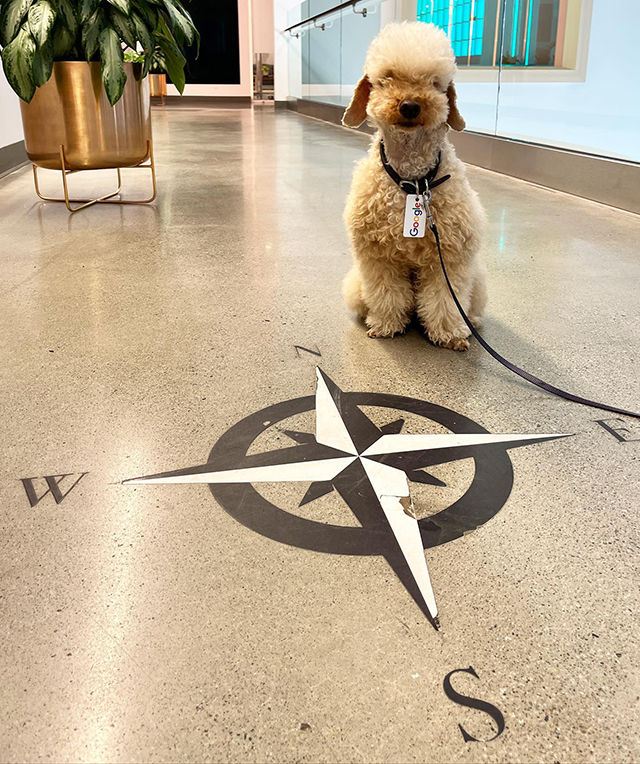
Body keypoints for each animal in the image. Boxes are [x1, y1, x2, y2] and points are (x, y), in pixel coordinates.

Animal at [344, 20, 484, 350]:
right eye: (387, 78)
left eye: (435, 83)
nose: (410, 105)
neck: (414, 182)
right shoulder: (378, 257)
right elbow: (387, 294)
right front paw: (386, 324)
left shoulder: (450, 256)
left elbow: (445, 298)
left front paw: (449, 333)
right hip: (356, 284)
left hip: (478, 279)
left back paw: (472, 322)